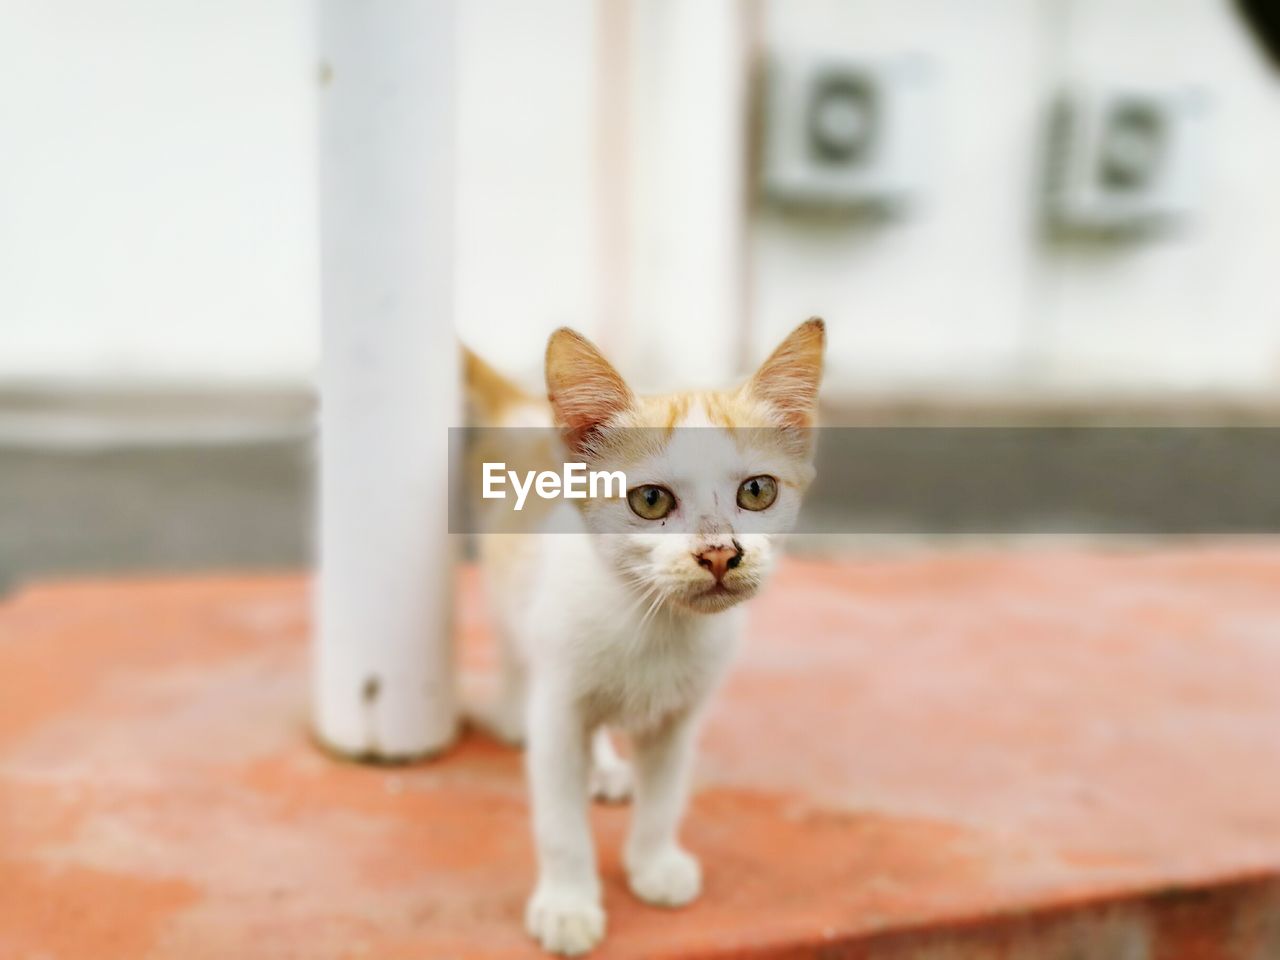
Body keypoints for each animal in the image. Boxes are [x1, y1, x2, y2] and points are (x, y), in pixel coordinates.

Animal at [465, 320, 824, 957]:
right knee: (516, 655)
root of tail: (526, 408)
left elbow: (664, 798)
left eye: (757, 491)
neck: (656, 623)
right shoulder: (558, 708)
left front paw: (654, 864)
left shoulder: (678, 718)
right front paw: (568, 904)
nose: (719, 553)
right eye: (650, 500)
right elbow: (559, 820)